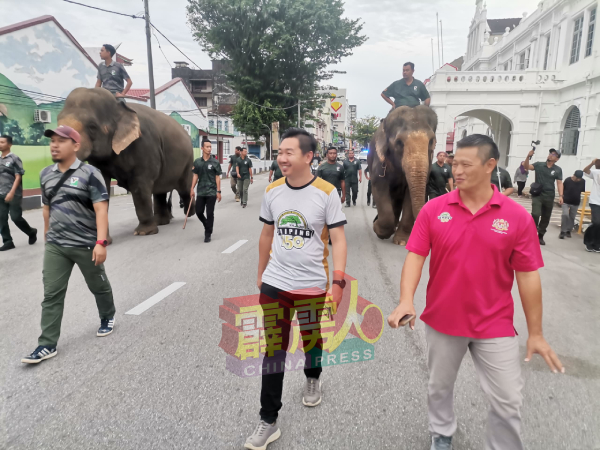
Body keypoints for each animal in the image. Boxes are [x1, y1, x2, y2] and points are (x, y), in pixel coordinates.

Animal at [56, 87, 195, 239]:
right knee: (160, 190)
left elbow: (140, 186)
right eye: (57, 121)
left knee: (185, 188)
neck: (120, 107)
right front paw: (104, 240)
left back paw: (190, 213)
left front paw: (143, 233)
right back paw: (161, 222)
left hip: (188, 161)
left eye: (92, 126)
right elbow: (100, 186)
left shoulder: (145, 146)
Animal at [366, 105, 436, 246]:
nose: (374, 222)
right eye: (399, 142)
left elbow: (410, 194)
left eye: (431, 141)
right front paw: (378, 229)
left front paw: (402, 241)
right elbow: (379, 187)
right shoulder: (379, 161)